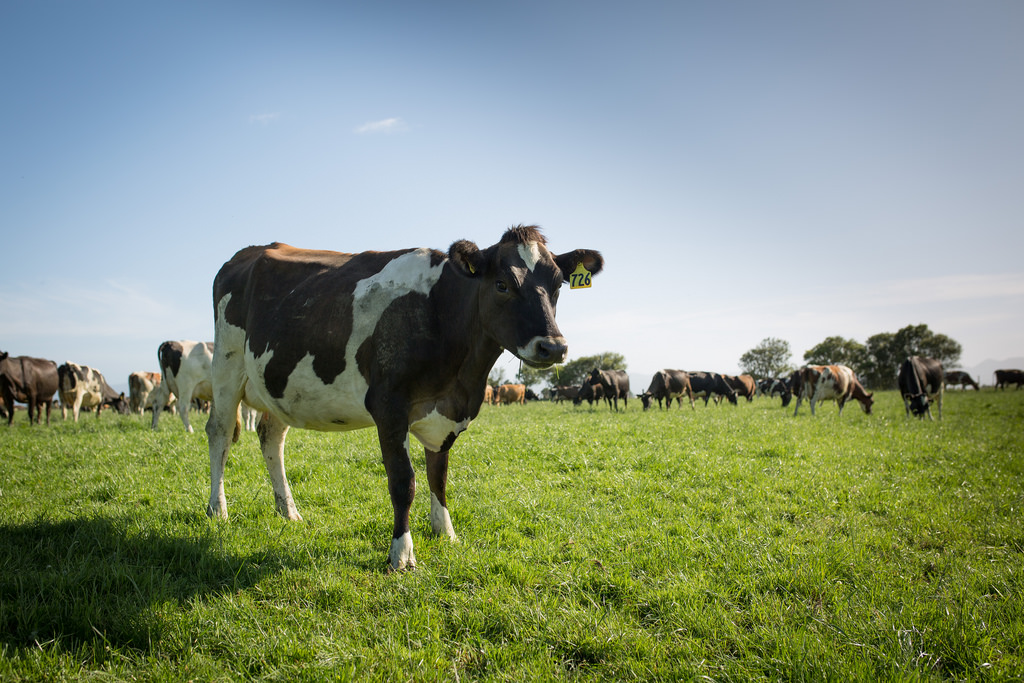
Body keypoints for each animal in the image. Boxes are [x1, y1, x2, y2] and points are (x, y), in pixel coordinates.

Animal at [201, 225, 598, 573]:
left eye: (557, 285)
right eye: (502, 284)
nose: (553, 346)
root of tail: (248, 252)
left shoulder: (446, 413)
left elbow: (439, 475)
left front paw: (445, 532)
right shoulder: (389, 406)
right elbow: (403, 482)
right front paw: (402, 554)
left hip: (277, 384)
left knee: (271, 437)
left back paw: (288, 511)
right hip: (226, 367)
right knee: (219, 433)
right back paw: (217, 510)